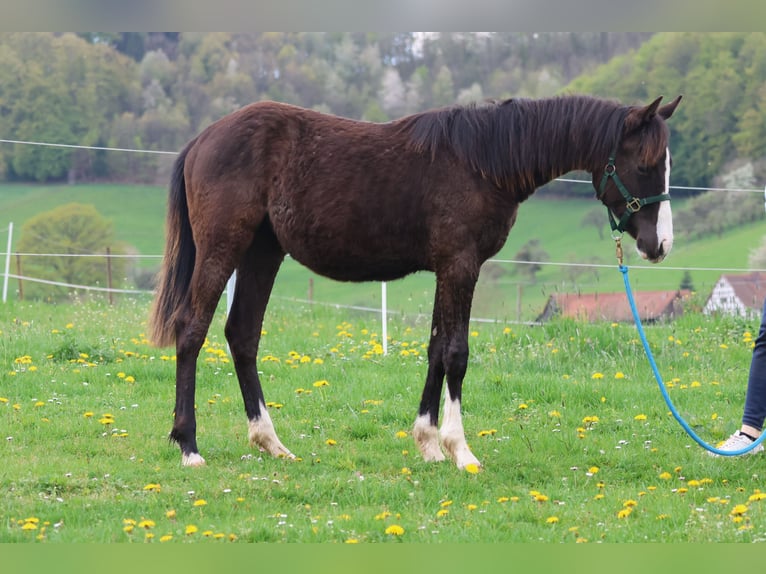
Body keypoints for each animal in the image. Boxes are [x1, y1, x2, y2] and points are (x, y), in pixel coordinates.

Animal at [149, 93, 682, 469]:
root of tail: (202, 140)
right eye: (644, 164)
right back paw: (189, 446)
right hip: (224, 249)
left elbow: (435, 350)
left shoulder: (446, 269)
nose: (659, 244)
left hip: (263, 252)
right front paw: (459, 450)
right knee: (192, 331)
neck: (485, 162)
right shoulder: (461, 265)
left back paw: (270, 442)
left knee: (242, 335)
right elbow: (456, 354)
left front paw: (427, 443)